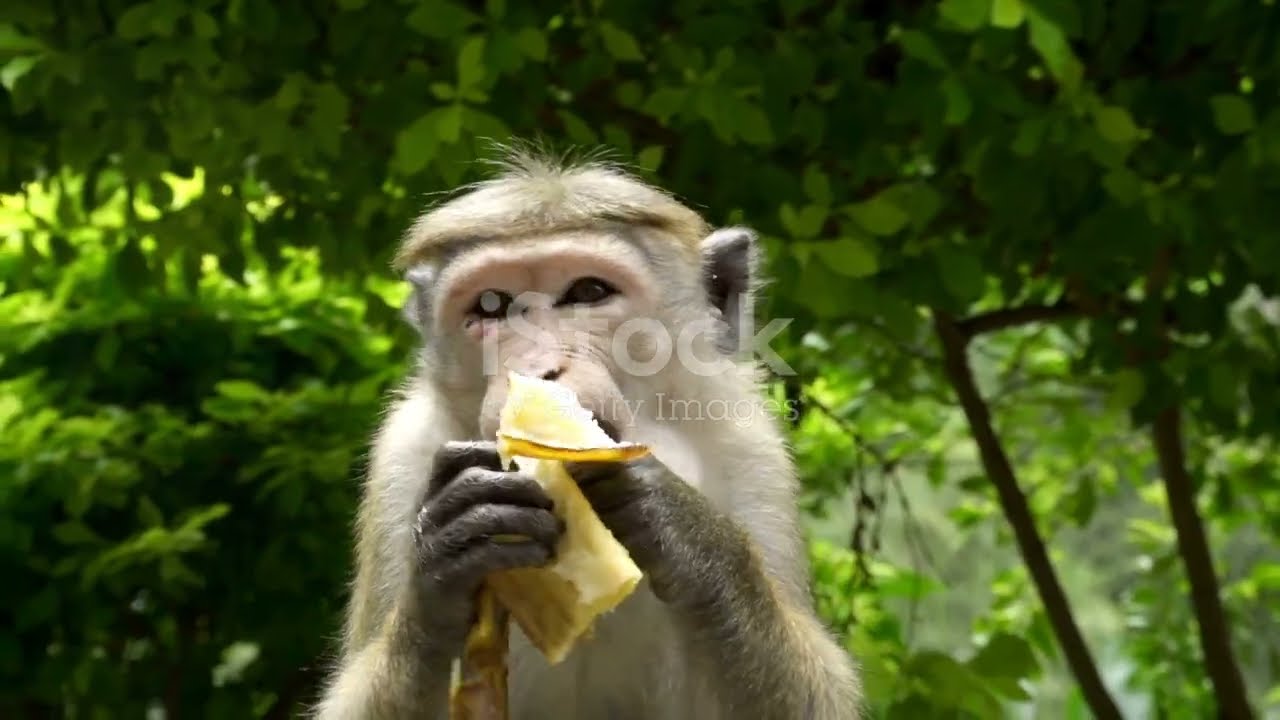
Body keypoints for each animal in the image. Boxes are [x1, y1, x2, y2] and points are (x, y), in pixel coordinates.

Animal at [312, 146, 862, 719]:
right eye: (491, 305)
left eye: (588, 292)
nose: (536, 367)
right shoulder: (402, 456)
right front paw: (448, 550)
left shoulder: (750, 445)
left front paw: (690, 533)